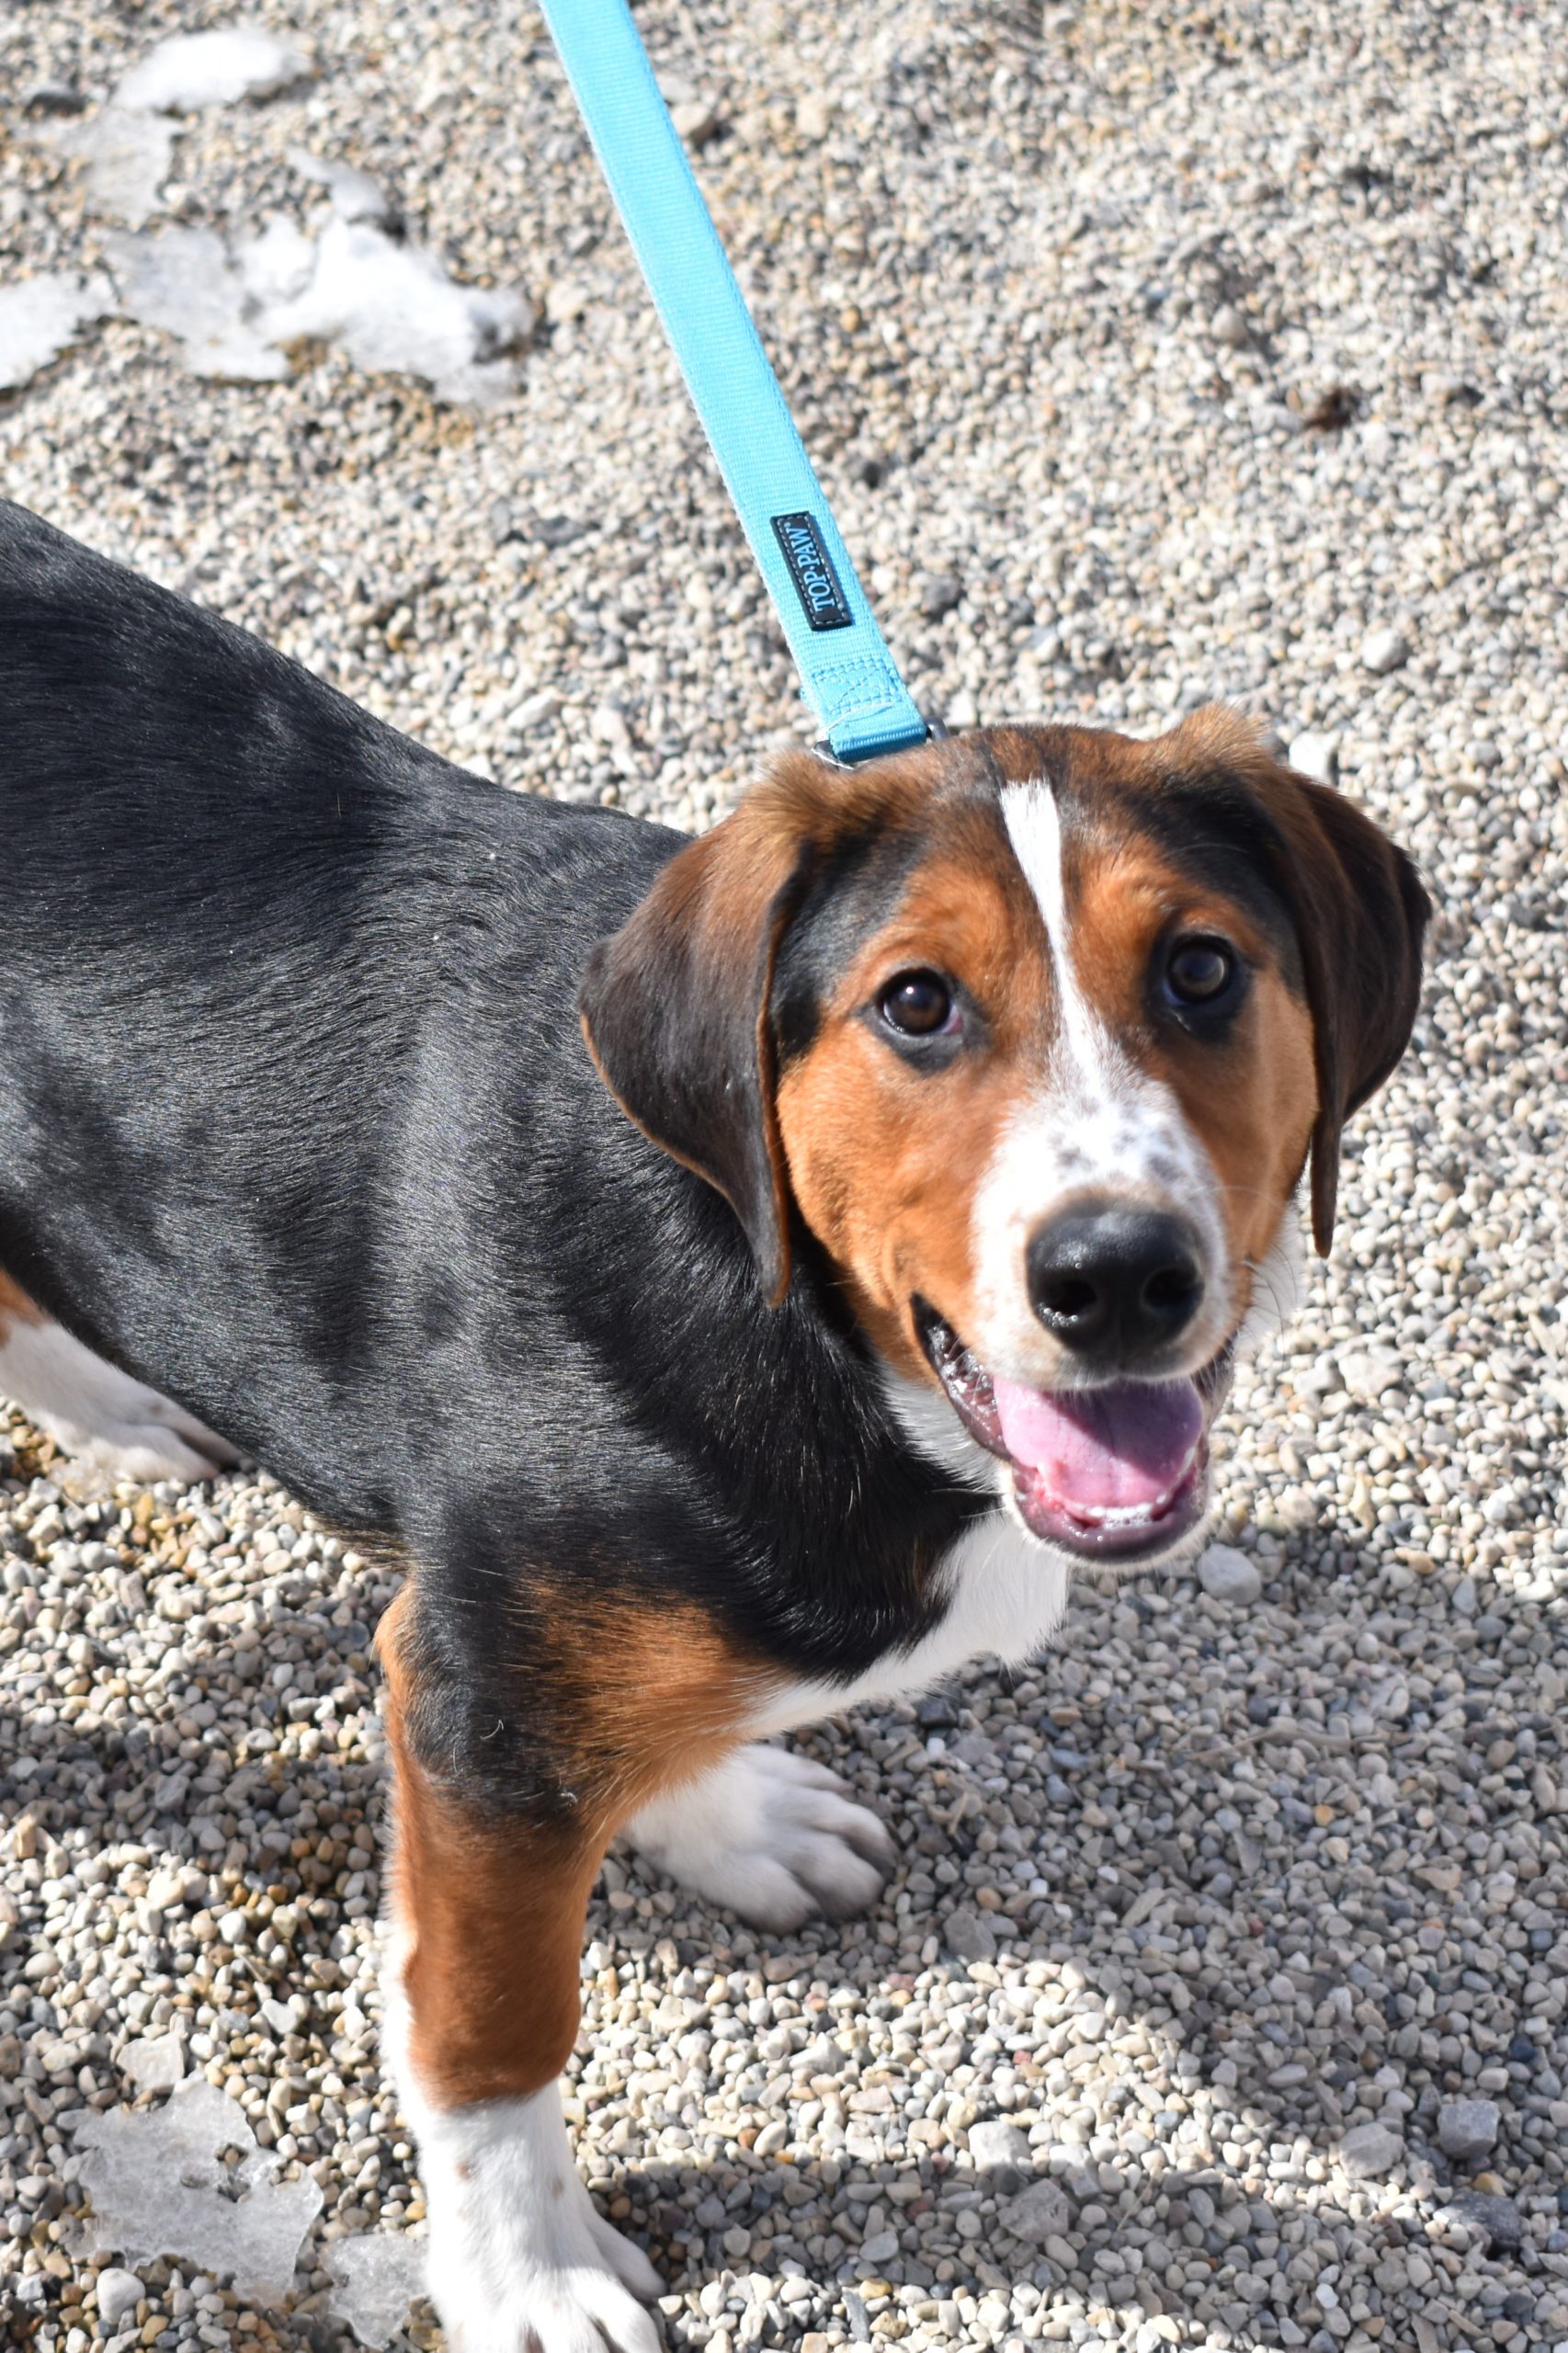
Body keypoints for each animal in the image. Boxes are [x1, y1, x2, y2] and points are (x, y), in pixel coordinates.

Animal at [0, 501, 1422, 2353]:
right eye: (915, 1005)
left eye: (1200, 971)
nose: (1118, 1275)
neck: (784, 1306)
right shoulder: (480, 1703)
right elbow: (493, 2027)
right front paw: (523, 2273)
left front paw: (731, 1818)